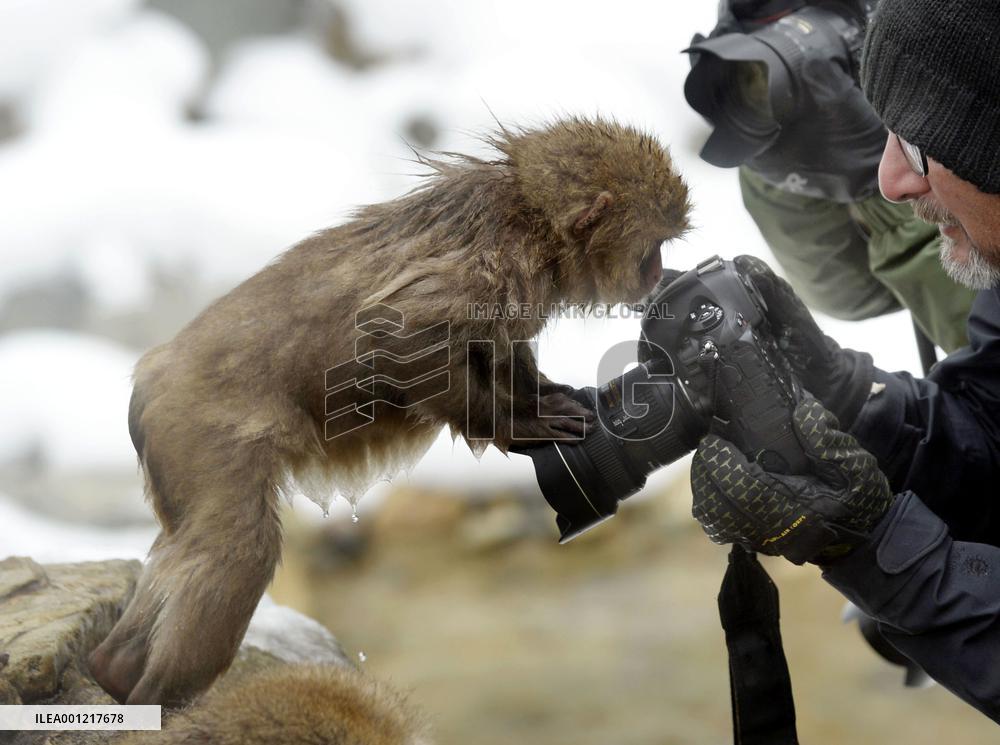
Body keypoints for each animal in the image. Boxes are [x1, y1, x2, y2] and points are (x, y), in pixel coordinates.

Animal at [88, 116, 691, 707]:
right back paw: (157, 695)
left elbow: (498, 347)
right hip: (197, 427)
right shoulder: (494, 266)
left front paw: (539, 395)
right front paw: (517, 425)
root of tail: (150, 375)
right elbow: (398, 334)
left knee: (186, 543)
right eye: (654, 247)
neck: (533, 219)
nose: (659, 275)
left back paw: (113, 668)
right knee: (235, 548)